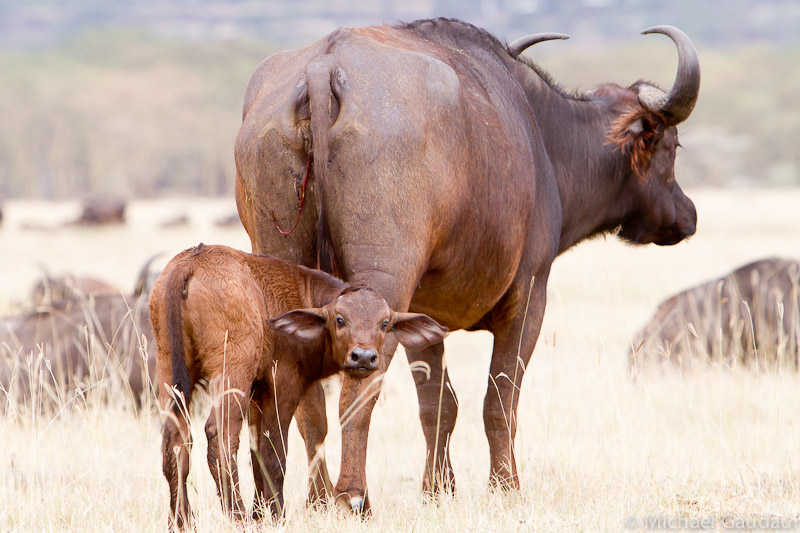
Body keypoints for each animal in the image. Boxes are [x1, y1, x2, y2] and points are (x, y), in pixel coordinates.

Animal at [148, 245, 450, 528]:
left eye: (384, 323)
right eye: (340, 320)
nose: (363, 357)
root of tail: (191, 261)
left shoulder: (258, 395)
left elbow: (256, 456)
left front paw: (262, 513)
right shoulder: (283, 387)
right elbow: (274, 454)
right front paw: (275, 516)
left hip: (169, 369)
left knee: (175, 442)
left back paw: (181, 520)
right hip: (232, 371)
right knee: (220, 436)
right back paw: (238, 516)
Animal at [233, 19, 700, 512]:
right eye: (672, 144)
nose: (688, 215)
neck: (542, 138)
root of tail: (324, 66)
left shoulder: (418, 317)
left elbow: (437, 403)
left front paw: (438, 489)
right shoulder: (529, 296)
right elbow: (499, 399)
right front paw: (506, 486)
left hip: (291, 275)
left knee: (303, 403)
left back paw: (316, 498)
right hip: (382, 288)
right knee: (358, 393)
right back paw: (352, 498)